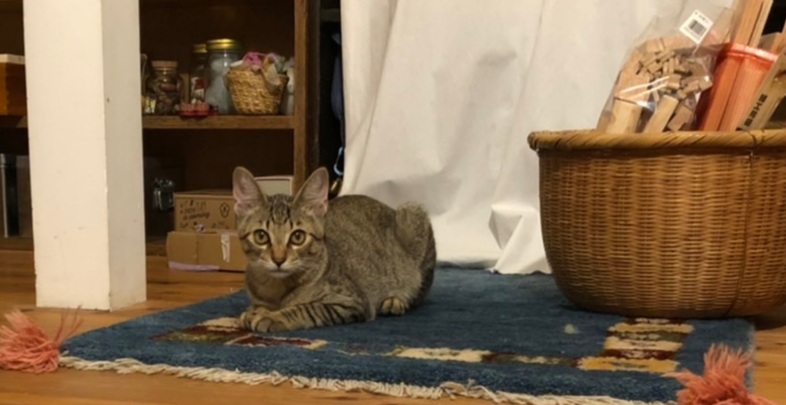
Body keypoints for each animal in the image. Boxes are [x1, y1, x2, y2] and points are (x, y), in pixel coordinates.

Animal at [232, 166, 437, 333]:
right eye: (261, 236)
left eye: (298, 237)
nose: (278, 259)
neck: (275, 289)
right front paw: (255, 312)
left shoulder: (350, 301)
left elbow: (306, 308)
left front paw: (273, 317)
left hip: (413, 213)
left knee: (416, 294)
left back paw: (395, 301)